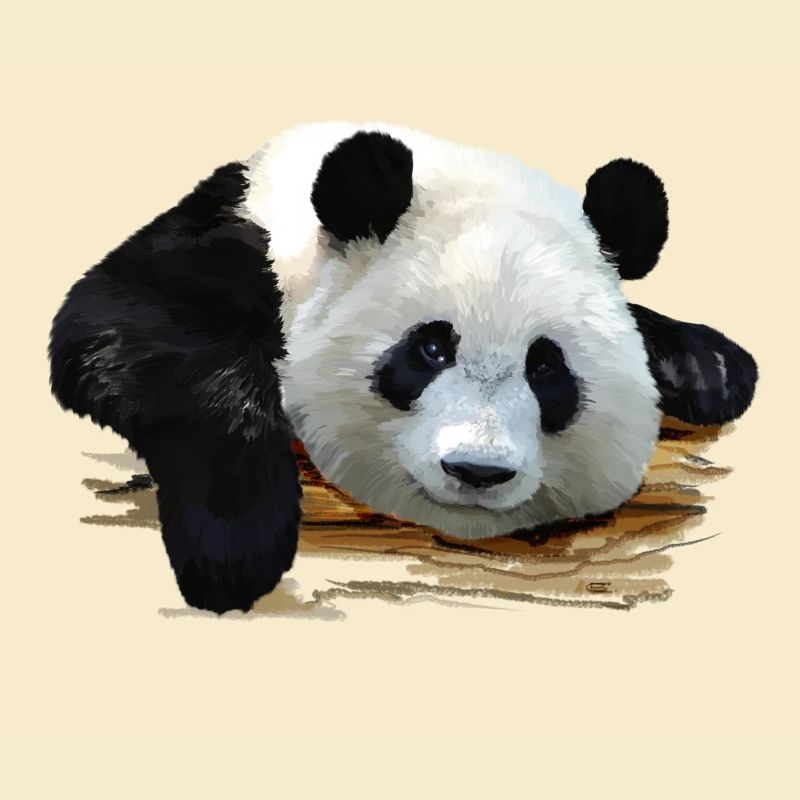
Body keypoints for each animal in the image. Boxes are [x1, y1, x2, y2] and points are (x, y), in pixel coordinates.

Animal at [49, 121, 758, 613]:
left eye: (546, 368)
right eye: (431, 349)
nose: (477, 471)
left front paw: (713, 367)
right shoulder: (229, 240)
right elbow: (124, 329)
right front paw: (232, 547)